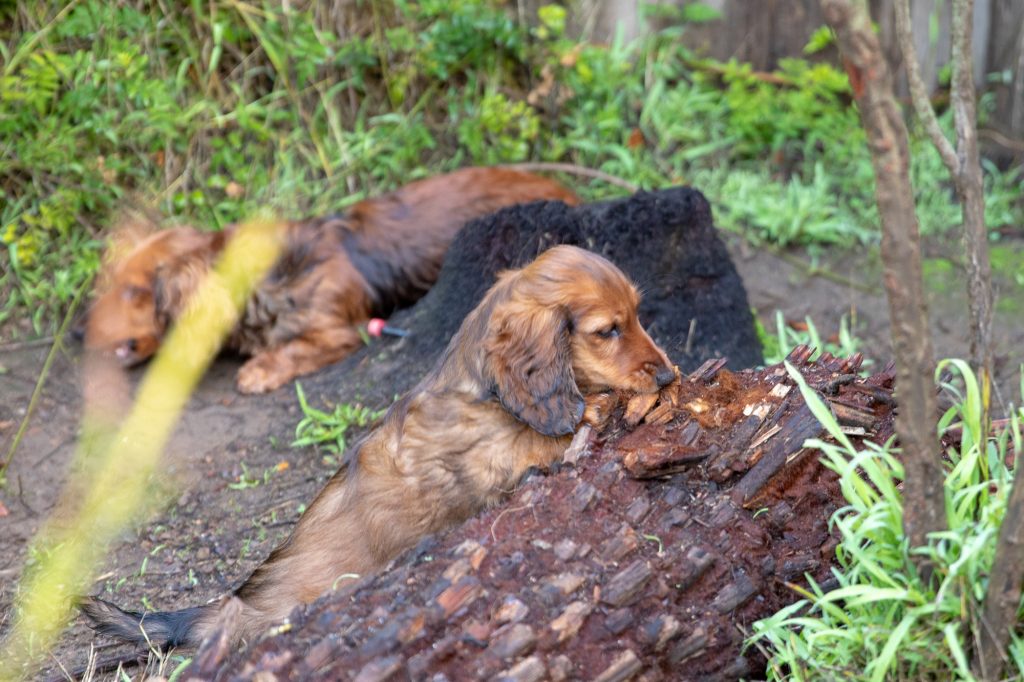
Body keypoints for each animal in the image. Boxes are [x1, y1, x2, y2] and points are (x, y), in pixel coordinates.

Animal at [83, 244, 675, 647]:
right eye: (608, 330)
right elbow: (545, 440)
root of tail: (225, 607)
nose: (669, 376)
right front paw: (597, 408)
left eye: (637, 314)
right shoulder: (494, 460)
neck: (484, 392)